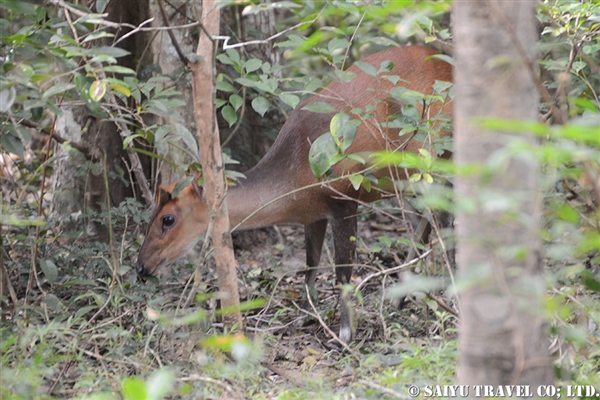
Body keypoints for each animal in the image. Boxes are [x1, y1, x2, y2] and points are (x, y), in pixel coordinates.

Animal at [137, 45, 454, 346]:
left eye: (167, 219)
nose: (141, 267)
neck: (293, 177)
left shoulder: (344, 200)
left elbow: (342, 273)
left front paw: (345, 335)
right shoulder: (313, 214)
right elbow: (310, 266)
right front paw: (304, 317)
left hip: (434, 154)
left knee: (444, 215)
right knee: (432, 216)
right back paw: (404, 296)